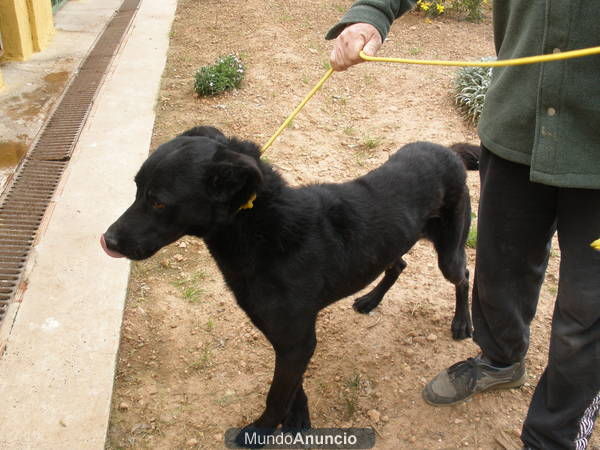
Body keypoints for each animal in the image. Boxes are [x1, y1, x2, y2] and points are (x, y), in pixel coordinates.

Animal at [102, 125, 478, 442]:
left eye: (158, 201)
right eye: (136, 188)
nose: (107, 240)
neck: (259, 230)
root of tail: (449, 150)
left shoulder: (296, 338)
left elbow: (276, 394)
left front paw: (260, 431)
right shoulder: (285, 336)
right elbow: (292, 385)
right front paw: (298, 417)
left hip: (449, 253)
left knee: (463, 277)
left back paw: (462, 322)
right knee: (399, 263)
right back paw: (370, 300)